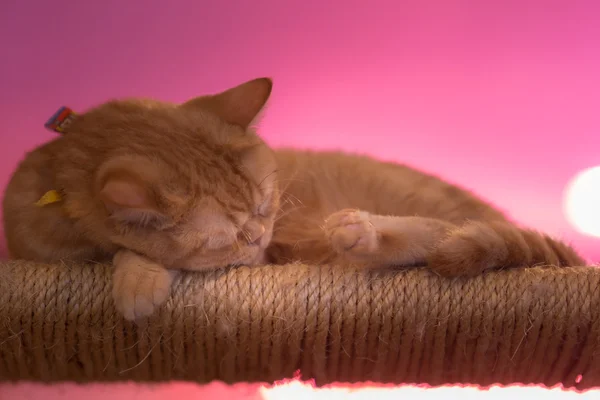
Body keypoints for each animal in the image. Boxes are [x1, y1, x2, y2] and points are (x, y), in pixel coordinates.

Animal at [2, 78, 584, 320]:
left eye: (264, 207)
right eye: (229, 236)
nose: (260, 237)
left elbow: (129, 252)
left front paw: (137, 280)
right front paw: (138, 272)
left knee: (438, 241)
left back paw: (366, 230)